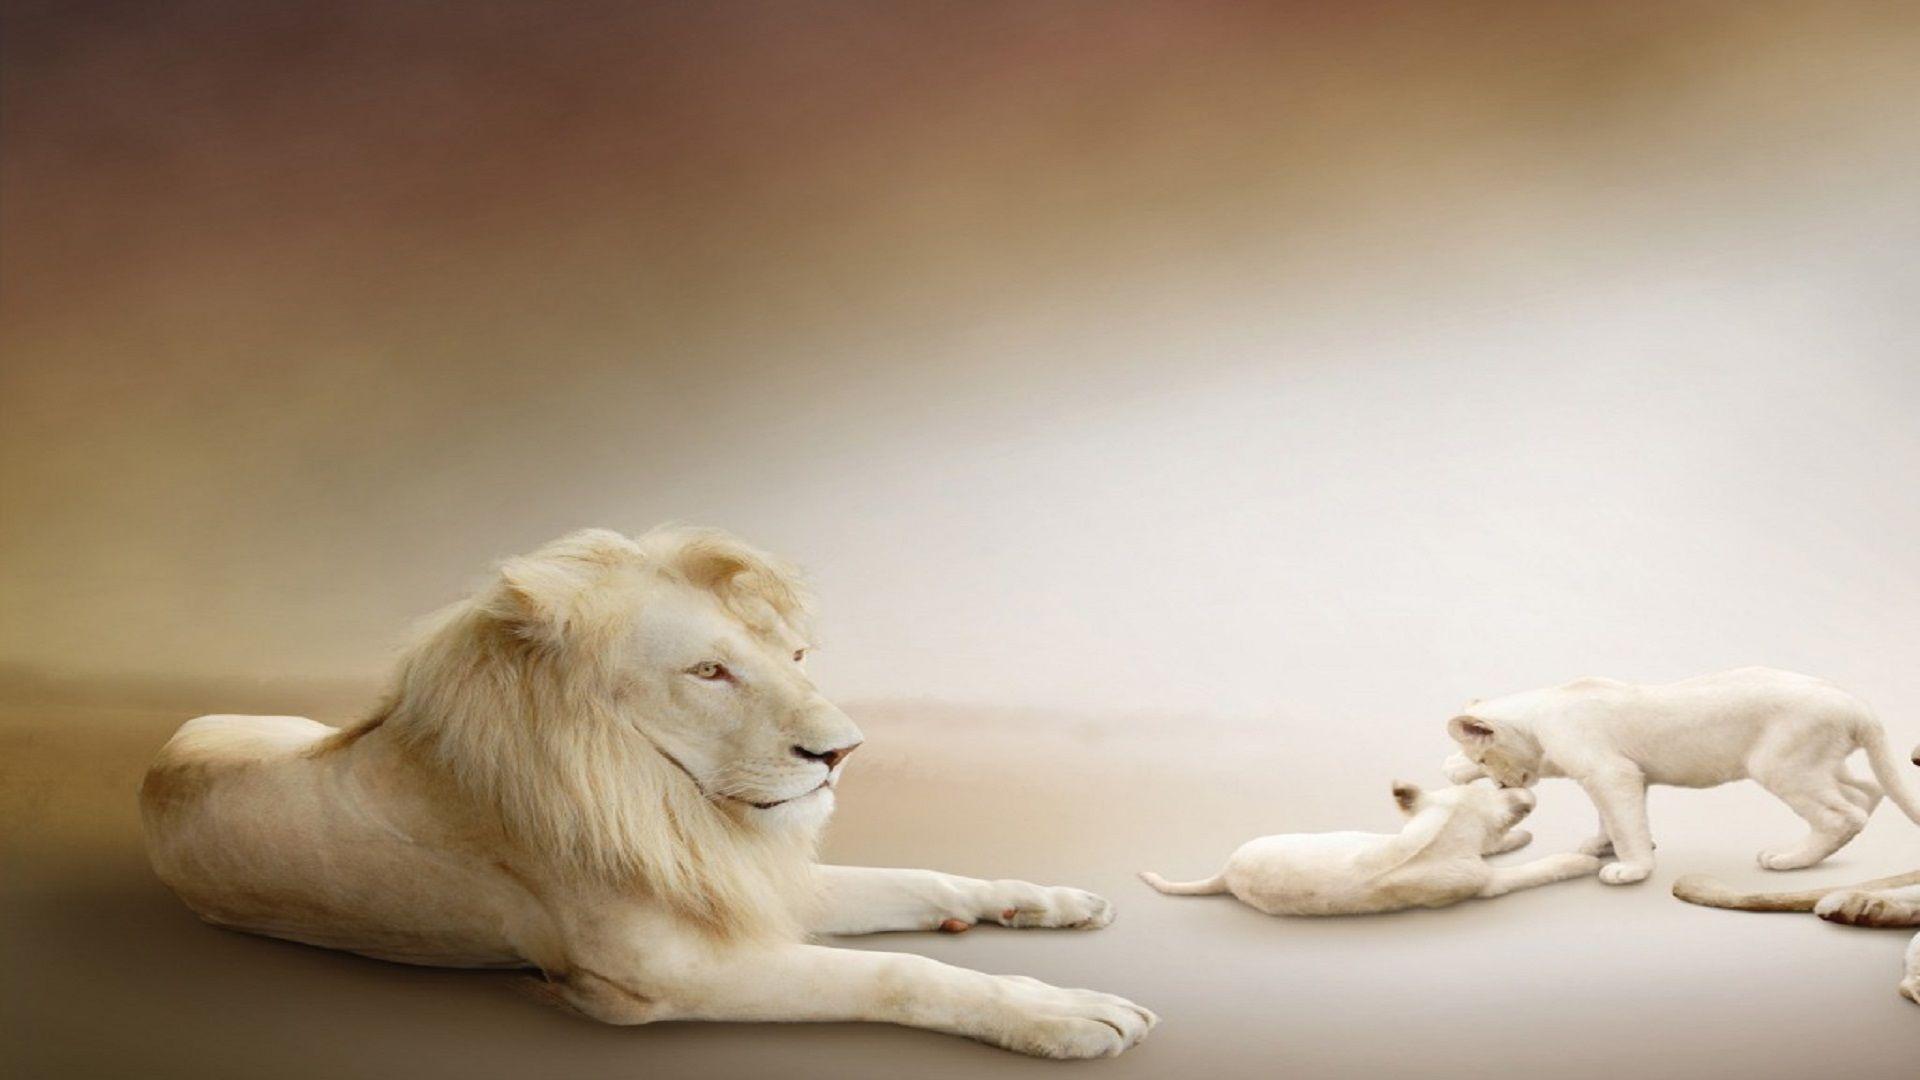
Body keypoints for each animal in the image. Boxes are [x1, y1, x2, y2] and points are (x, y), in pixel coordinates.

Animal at [140, 526, 1156, 1058]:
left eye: (794, 656)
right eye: (708, 671)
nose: (844, 753)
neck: (669, 802)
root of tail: (166, 745)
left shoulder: (738, 877)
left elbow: (920, 879)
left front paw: (1047, 901)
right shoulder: (663, 975)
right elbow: (895, 971)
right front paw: (1065, 1013)